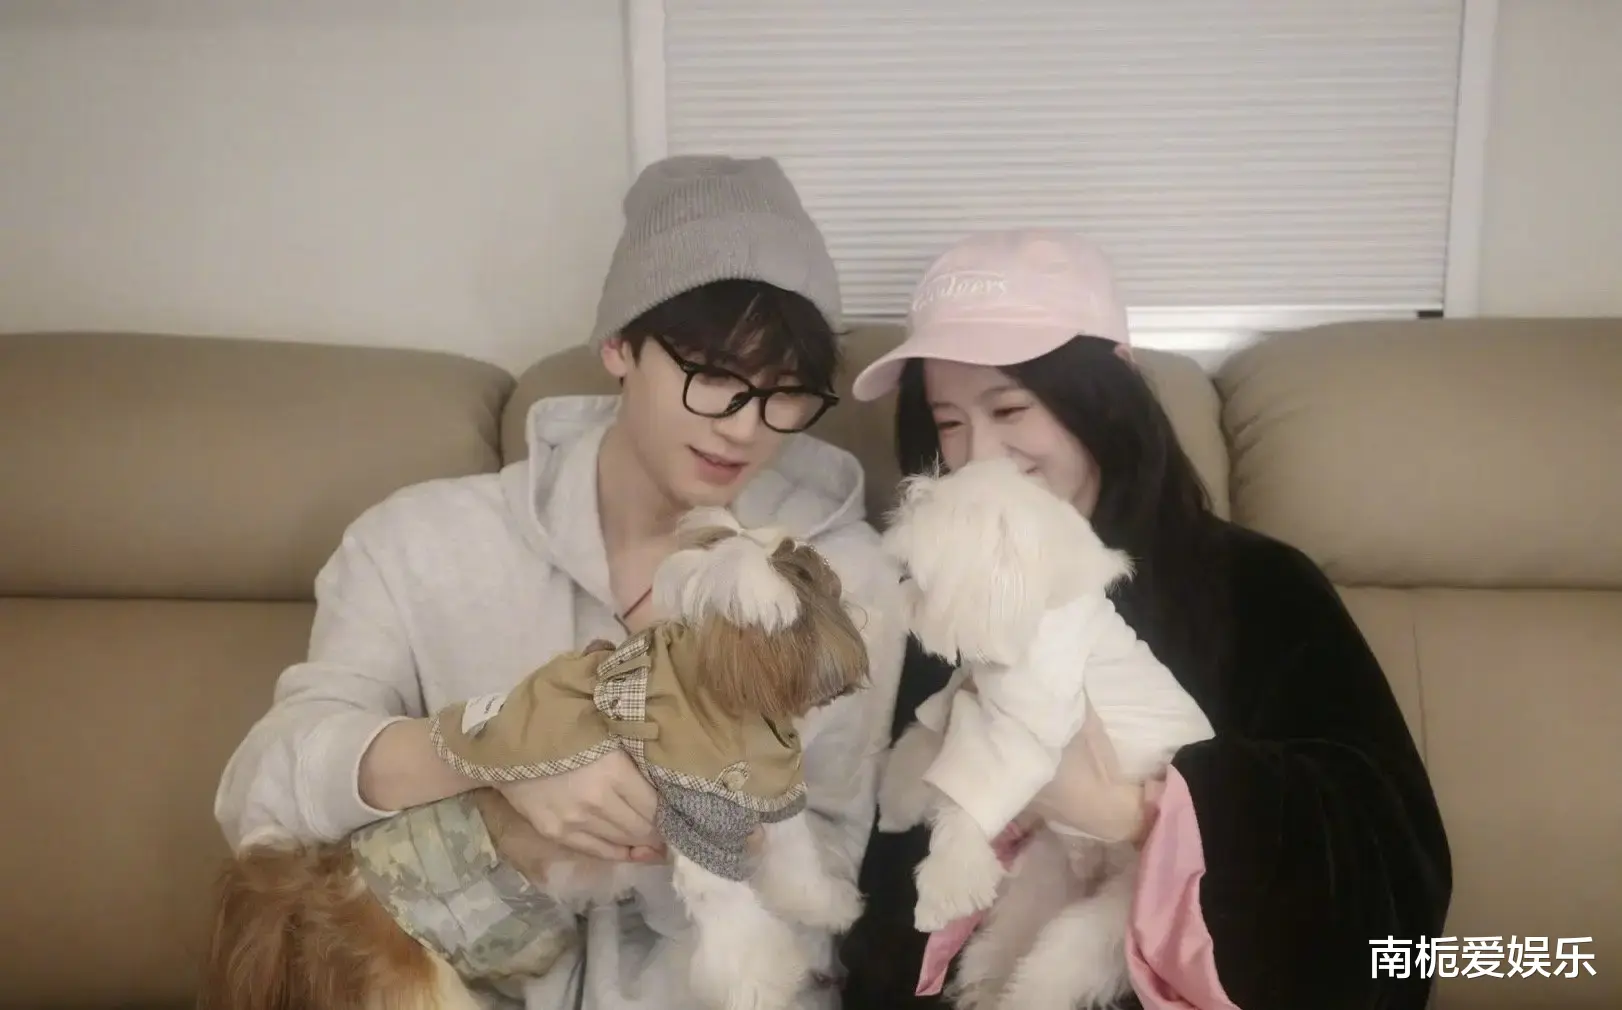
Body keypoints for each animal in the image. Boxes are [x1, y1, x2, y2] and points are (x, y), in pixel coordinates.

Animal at [875, 457, 1214, 1009]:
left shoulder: (1027, 722)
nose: (899, 585)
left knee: (1056, 962)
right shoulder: (965, 694)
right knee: (1005, 945)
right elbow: (925, 739)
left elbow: (973, 792)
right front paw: (899, 800)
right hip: (1043, 879)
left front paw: (944, 885)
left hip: (1113, 916)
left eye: (920, 574)